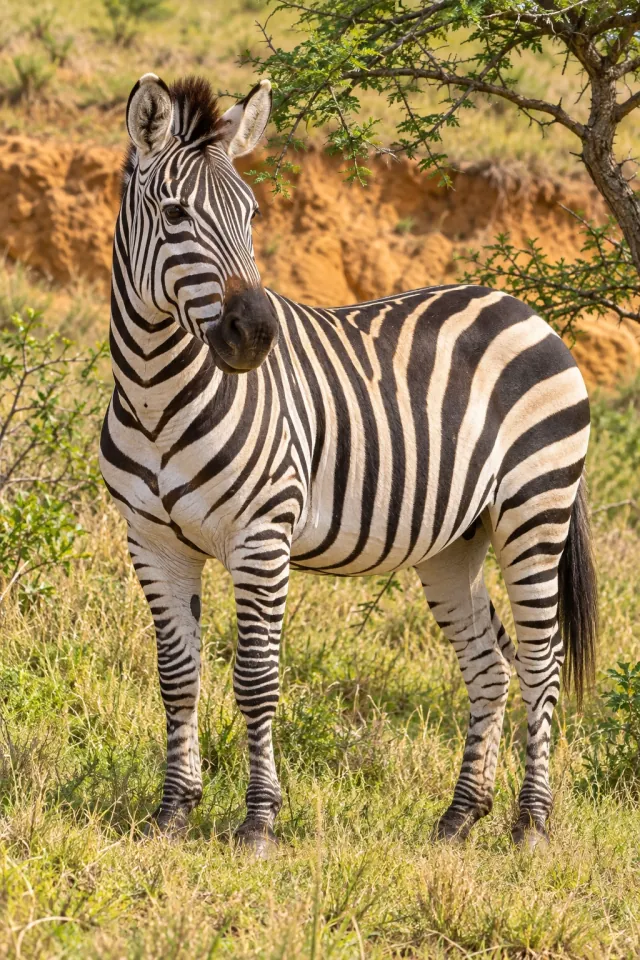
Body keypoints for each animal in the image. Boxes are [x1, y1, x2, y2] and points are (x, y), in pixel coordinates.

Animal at [100, 72, 598, 858]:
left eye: (252, 214)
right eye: (176, 214)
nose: (256, 334)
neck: (156, 394)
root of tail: (522, 307)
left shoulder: (262, 537)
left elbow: (256, 678)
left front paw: (259, 821)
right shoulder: (151, 543)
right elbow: (178, 677)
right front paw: (172, 812)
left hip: (534, 512)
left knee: (541, 664)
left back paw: (531, 823)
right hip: (456, 541)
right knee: (489, 665)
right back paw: (459, 817)